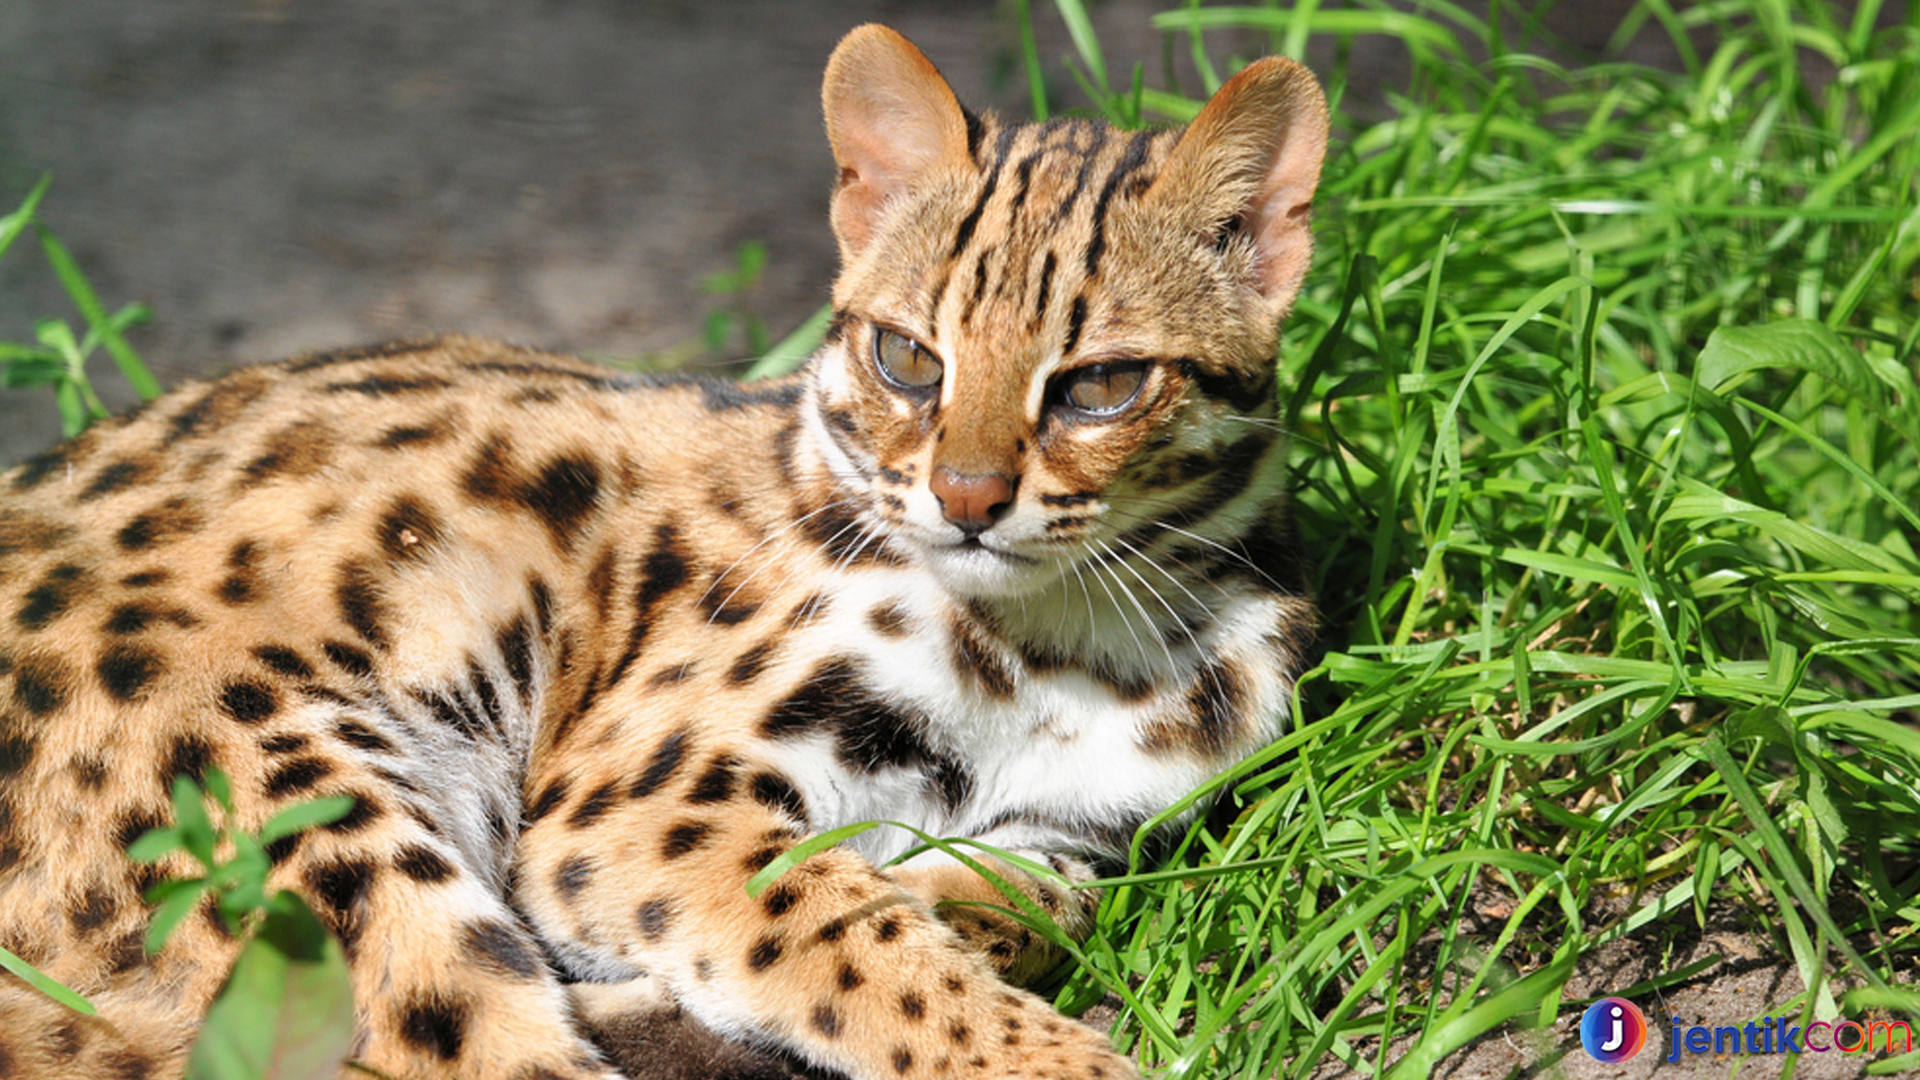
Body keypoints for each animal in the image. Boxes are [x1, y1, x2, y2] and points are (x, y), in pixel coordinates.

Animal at [0, 23, 1320, 1076]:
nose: (967, 498)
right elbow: (861, 941)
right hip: (301, 803)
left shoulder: (1072, 831)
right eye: (908, 360)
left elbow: (1021, 903)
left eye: (1102, 385)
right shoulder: (640, 802)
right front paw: (1058, 1058)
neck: (1069, 645)